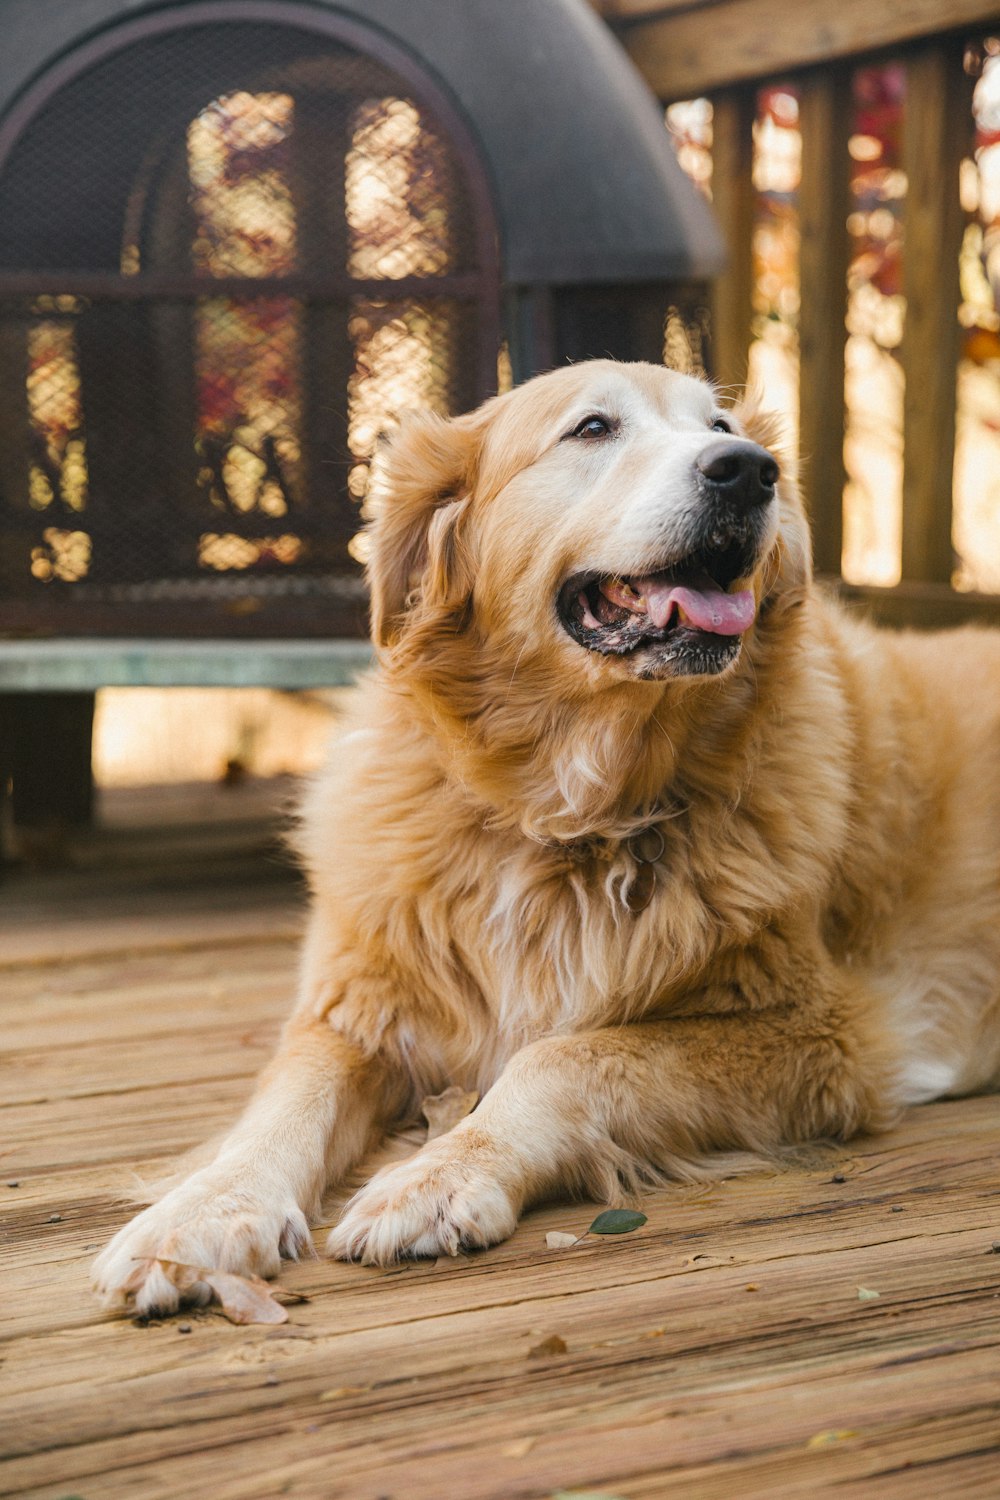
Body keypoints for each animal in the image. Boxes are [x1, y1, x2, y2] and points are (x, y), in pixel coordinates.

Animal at [93, 360, 1000, 1314]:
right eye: (592, 428)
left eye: (719, 426)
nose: (751, 471)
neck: (563, 816)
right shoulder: (358, 1007)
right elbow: (283, 1104)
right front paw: (202, 1213)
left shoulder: (823, 1037)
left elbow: (565, 1058)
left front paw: (441, 1174)